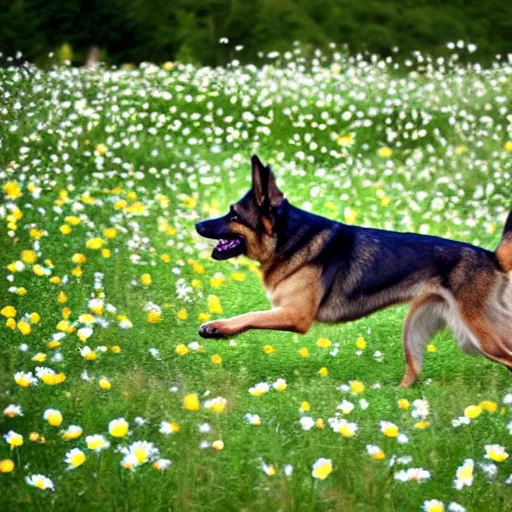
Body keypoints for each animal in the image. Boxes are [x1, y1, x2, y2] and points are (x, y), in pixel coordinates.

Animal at [196, 154, 512, 386]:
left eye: (234, 214)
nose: (197, 224)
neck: (288, 239)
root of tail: (491, 257)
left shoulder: (295, 315)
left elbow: (250, 316)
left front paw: (216, 327)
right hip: (423, 329)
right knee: (413, 375)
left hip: (481, 335)